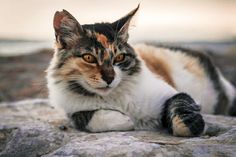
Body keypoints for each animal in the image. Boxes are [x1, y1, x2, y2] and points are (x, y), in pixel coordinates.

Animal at [46, 5, 236, 137]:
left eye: (119, 58)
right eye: (89, 58)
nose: (109, 78)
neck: (113, 98)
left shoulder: (172, 93)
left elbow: (180, 106)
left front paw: (190, 128)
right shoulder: (71, 111)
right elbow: (86, 118)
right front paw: (125, 121)